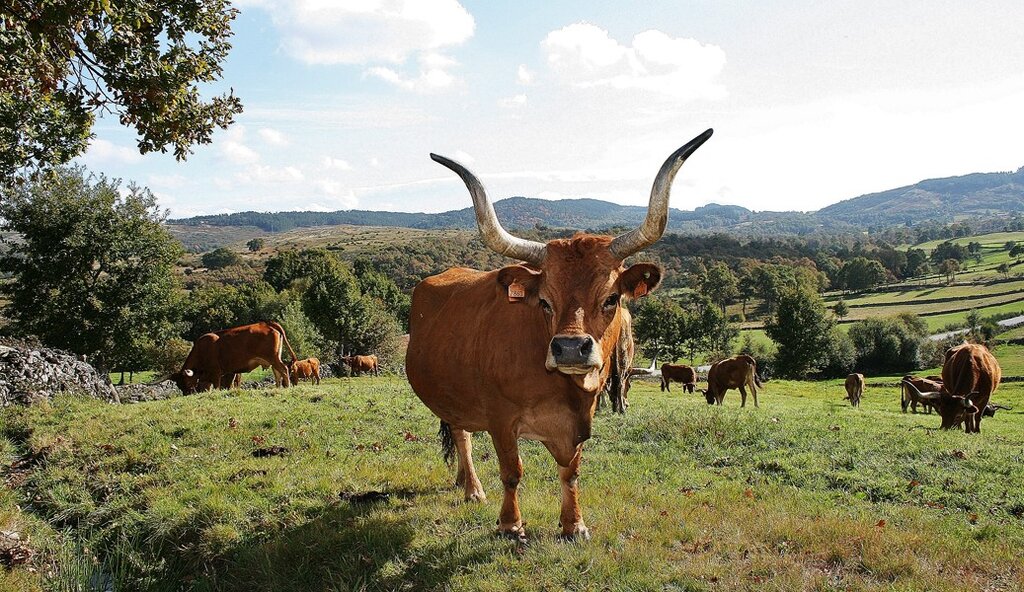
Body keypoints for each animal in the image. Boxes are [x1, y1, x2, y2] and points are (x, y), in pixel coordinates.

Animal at [169, 317, 299, 391]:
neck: (202, 349)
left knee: (283, 370)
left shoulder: (216, 373)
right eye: (179, 386)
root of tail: (266, 323)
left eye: (186, 382)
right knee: (277, 372)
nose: (187, 394)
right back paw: (277, 388)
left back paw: (287, 386)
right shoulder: (227, 373)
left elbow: (218, 386)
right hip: (274, 358)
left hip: (273, 357)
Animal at [403, 128, 716, 540]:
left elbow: (571, 473)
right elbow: (512, 472)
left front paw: (573, 525)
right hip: (454, 397)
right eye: (544, 302)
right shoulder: (501, 419)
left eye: (611, 298)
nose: (570, 349)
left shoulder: (580, 422)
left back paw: (461, 482)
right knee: (463, 437)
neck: (565, 390)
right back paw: (472, 488)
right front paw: (510, 525)